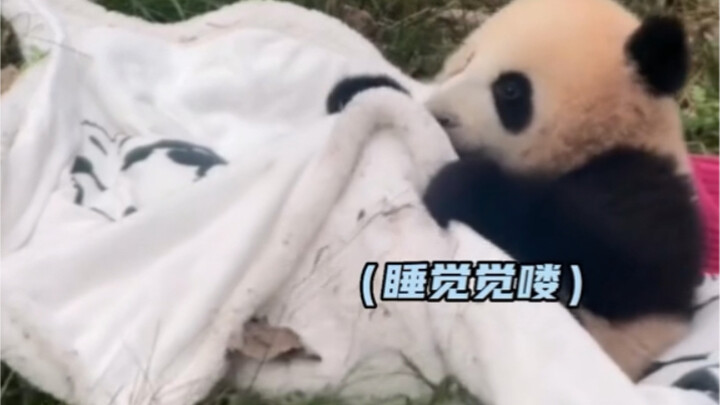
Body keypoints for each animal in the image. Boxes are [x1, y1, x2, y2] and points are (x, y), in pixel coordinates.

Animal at [326, 0, 704, 382]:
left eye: (509, 89)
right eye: (465, 60)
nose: (441, 115)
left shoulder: (646, 187)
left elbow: (612, 259)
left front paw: (461, 187)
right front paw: (359, 88)